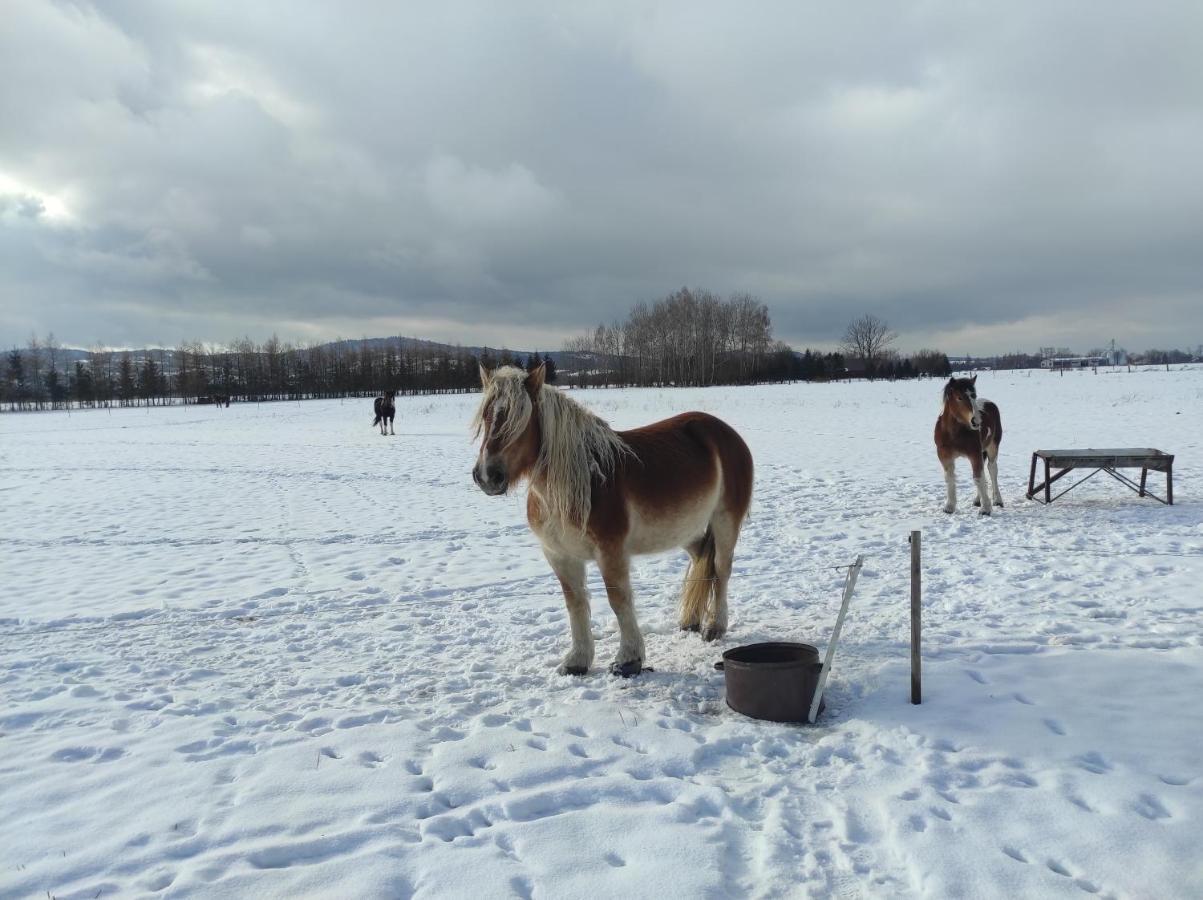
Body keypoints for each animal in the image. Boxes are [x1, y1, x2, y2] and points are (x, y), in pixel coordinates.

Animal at [469, 363, 750, 673]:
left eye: (520, 420)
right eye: (486, 416)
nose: (487, 475)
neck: (577, 486)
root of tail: (726, 433)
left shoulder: (611, 552)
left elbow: (618, 600)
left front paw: (629, 658)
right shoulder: (559, 555)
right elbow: (575, 602)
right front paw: (577, 660)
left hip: (725, 521)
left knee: (721, 569)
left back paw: (714, 626)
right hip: (684, 531)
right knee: (702, 558)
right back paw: (691, 621)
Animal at [933, 372, 1000, 512]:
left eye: (974, 396)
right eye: (959, 397)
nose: (976, 421)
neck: (953, 433)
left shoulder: (974, 454)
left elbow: (978, 478)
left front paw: (986, 508)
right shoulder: (944, 456)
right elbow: (950, 478)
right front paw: (950, 506)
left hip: (992, 447)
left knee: (992, 469)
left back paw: (997, 500)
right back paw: (977, 500)